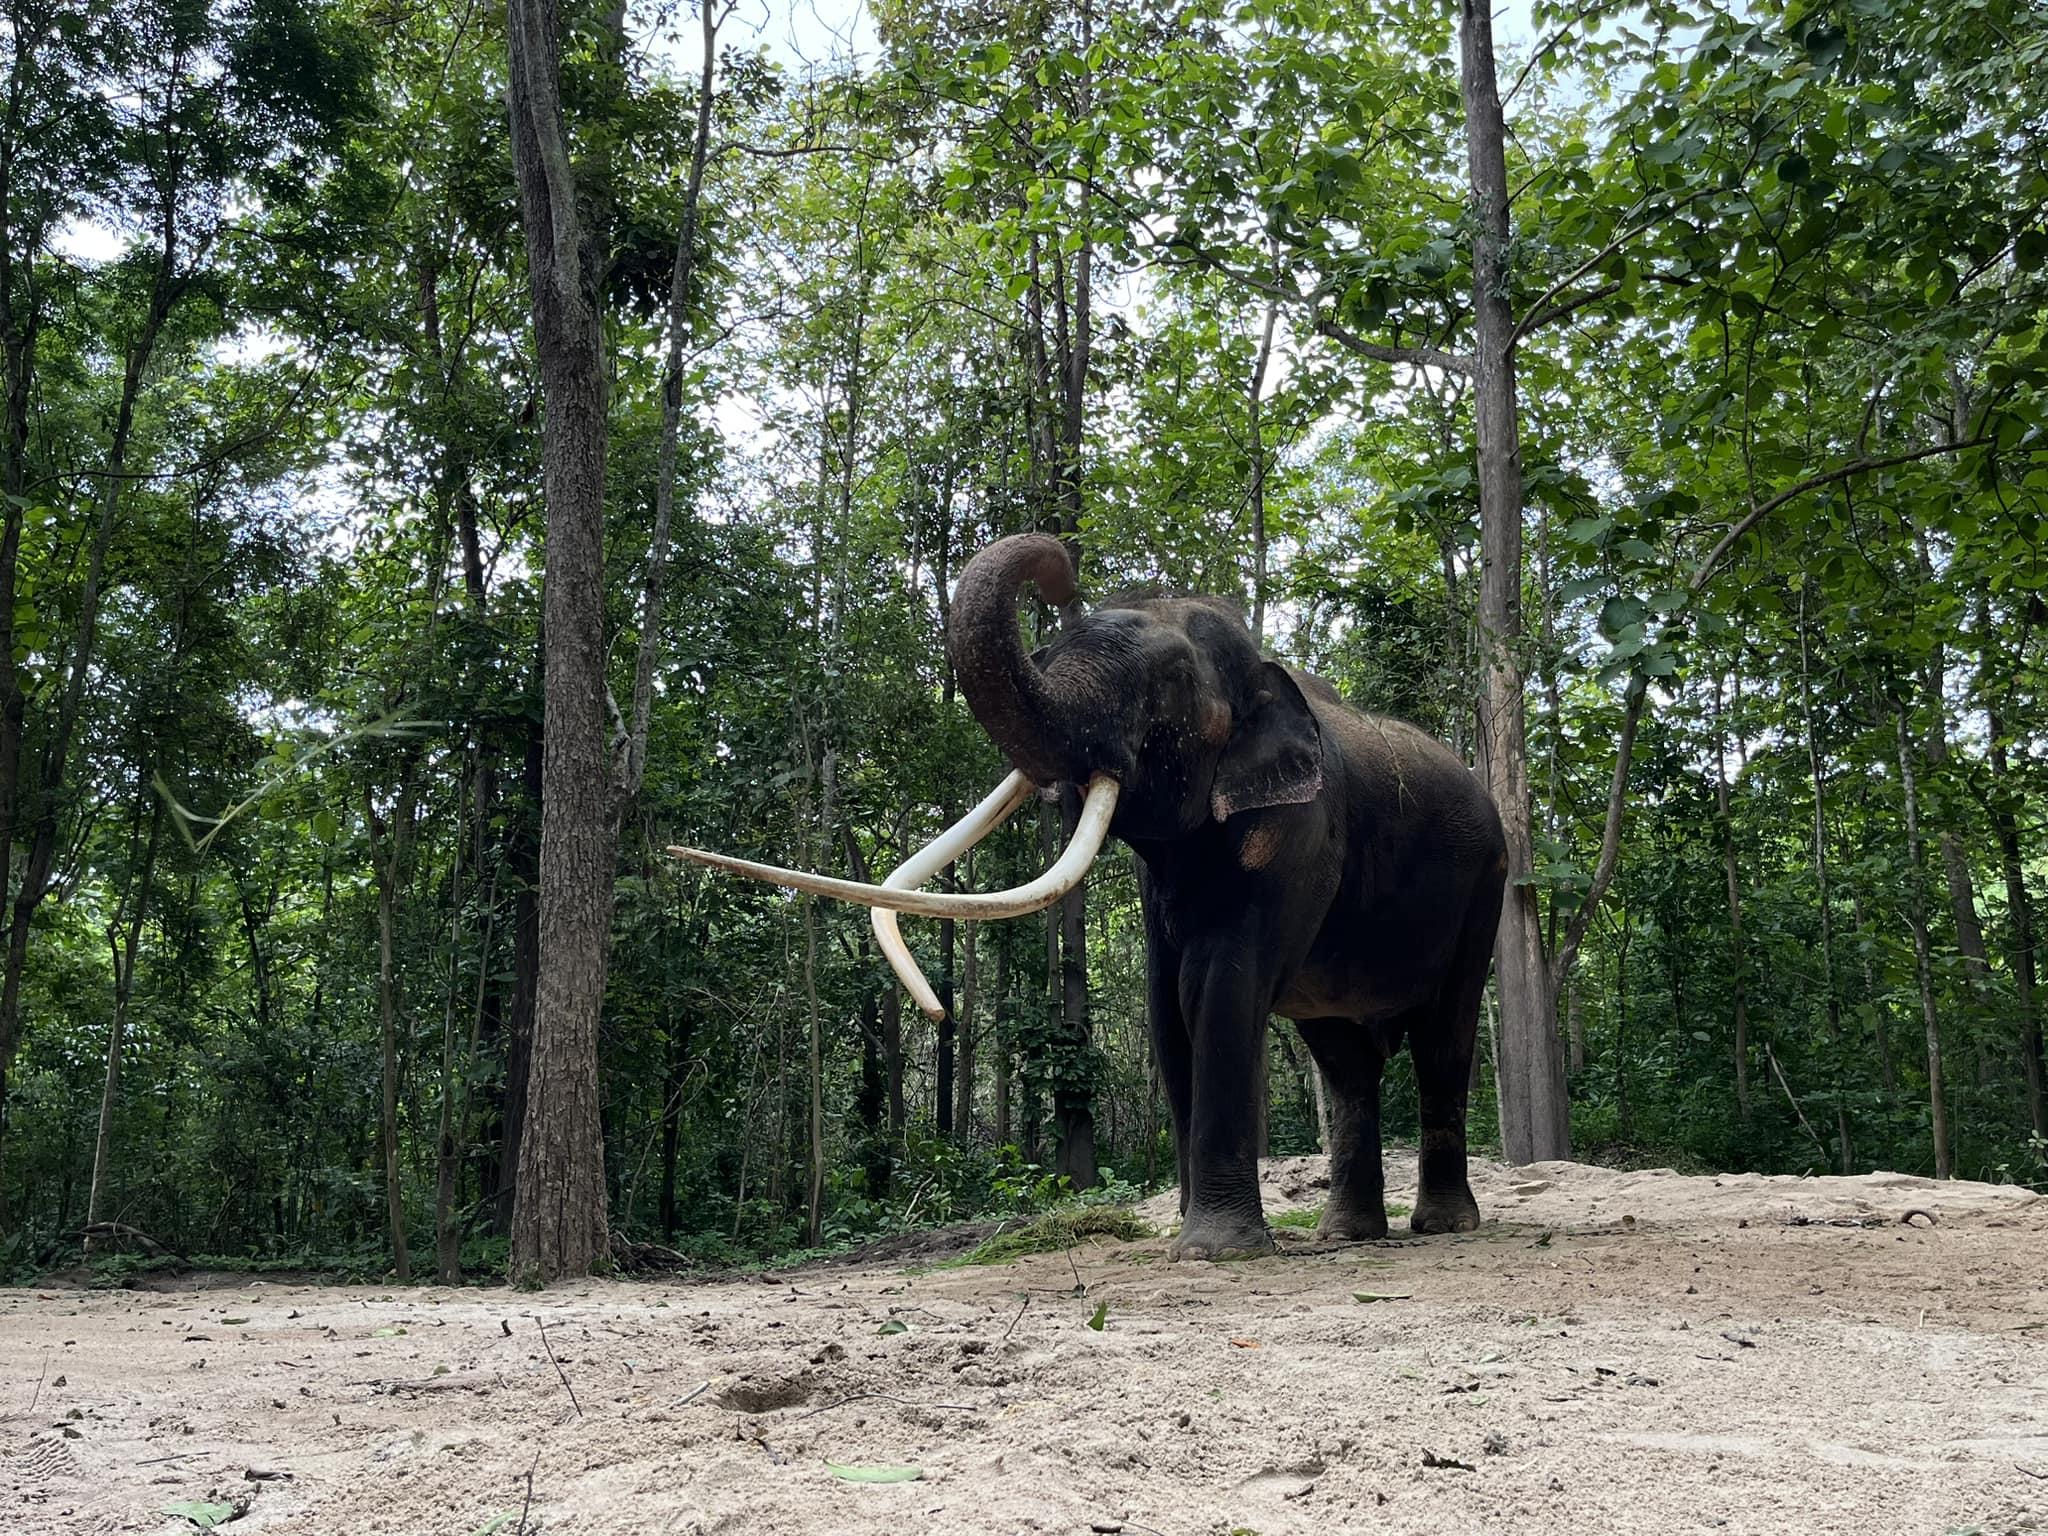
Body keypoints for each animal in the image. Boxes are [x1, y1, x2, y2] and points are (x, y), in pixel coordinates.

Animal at [672, 533, 1507, 1260]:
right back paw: (1347, 1235)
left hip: (1485, 886)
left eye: (1169, 690)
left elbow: (1218, 991)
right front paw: (1190, 1238)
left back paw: (1442, 1226)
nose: (1061, 572)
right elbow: (1169, 1006)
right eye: (1053, 653)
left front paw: (1214, 1252)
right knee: (1343, 1056)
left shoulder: (1300, 836)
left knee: (1443, 1037)